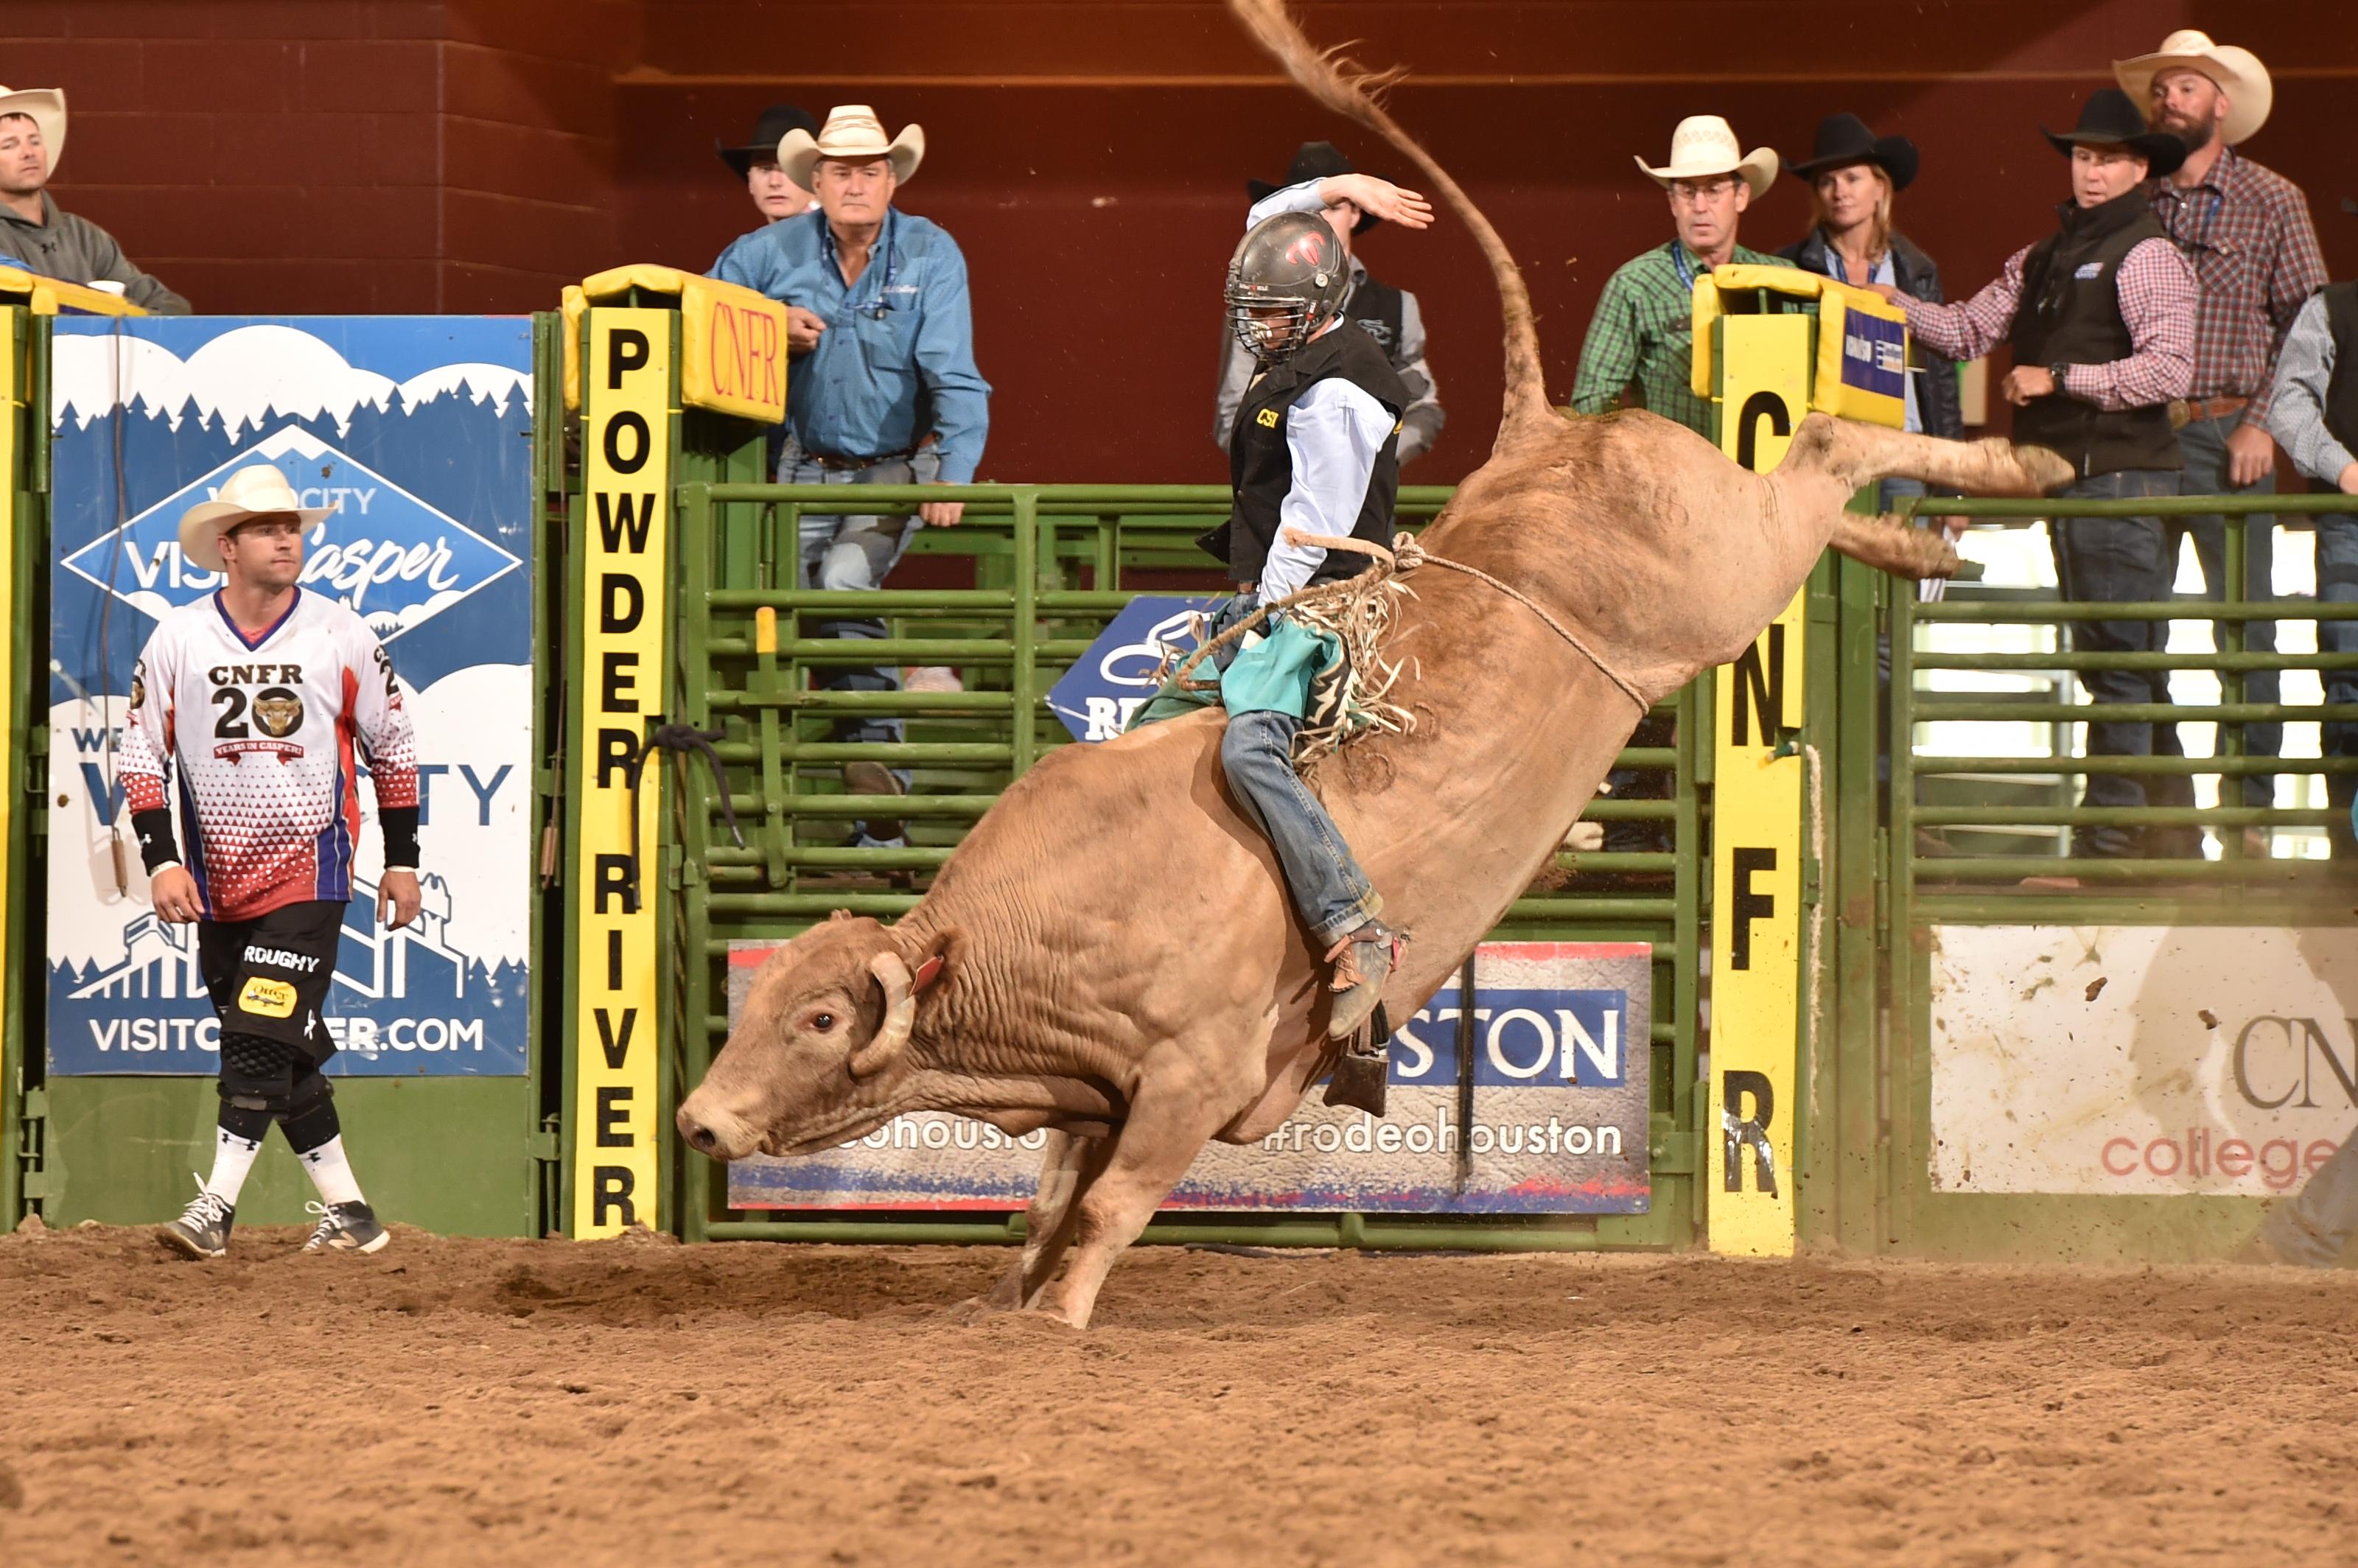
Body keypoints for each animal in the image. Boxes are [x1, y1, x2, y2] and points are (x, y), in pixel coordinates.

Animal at [678, 0, 2072, 1328]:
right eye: (761, 1000)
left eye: (817, 1018)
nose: (697, 1120)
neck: (1043, 932)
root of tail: (1546, 434)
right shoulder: (1094, 1091)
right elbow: (1053, 1196)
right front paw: (1004, 1300)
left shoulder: (1188, 1077)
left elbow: (1115, 1202)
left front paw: (1062, 1317)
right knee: (1827, 481)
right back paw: (1924, 534)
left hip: (1722, 578)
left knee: (1828, 441)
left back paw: (2018, 463)